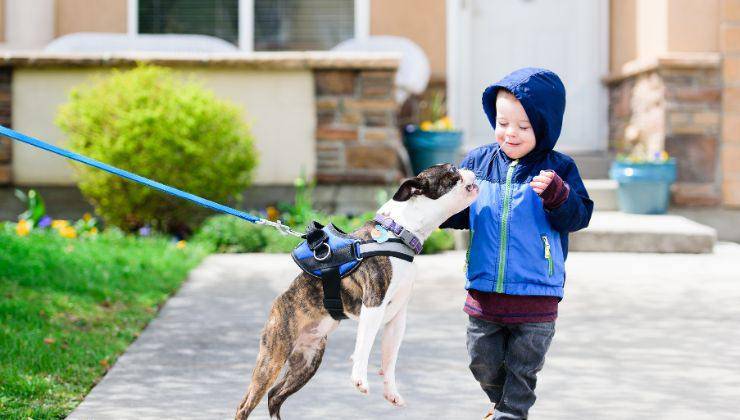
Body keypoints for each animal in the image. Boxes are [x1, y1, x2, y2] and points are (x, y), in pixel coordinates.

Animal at [236, 162, 480, 418]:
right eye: (452, 172)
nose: (469, 169)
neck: (398, 231)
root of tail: (279, 302)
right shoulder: (373, 305)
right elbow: (364, 345)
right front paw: (359, 379)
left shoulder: (397, 317)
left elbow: (389, 358)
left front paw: (391, 392)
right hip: (273, 357)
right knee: (246, 403)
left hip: (308, 360)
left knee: (275, 396)